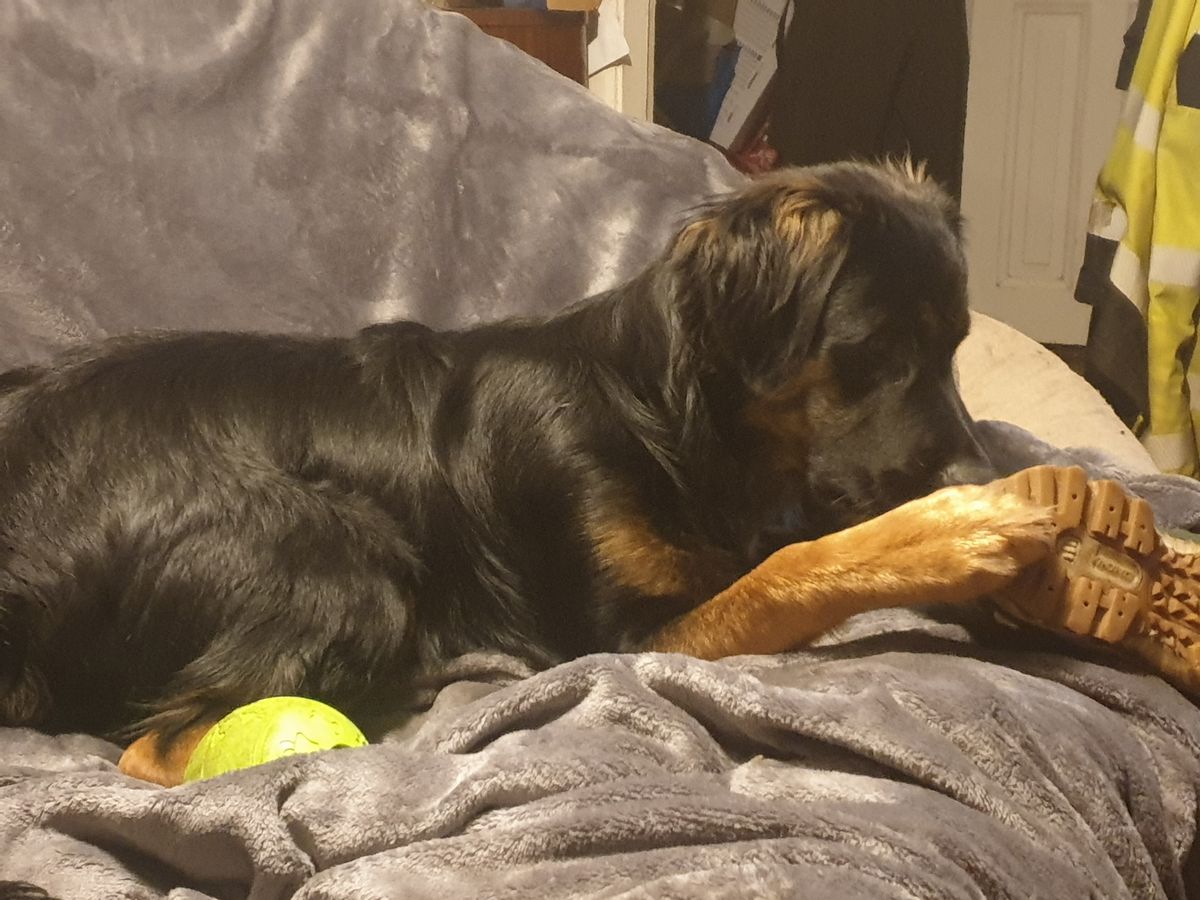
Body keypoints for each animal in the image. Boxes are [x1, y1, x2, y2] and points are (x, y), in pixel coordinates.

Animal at [0, 160, 1061, 785]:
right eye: (872, 351)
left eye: (956, 348)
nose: (974, 465)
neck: (661, 410)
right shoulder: (623, 637)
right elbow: (791, 573)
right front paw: (958, 532)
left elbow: (798, 543)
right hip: (341, 551)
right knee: (157, 751)